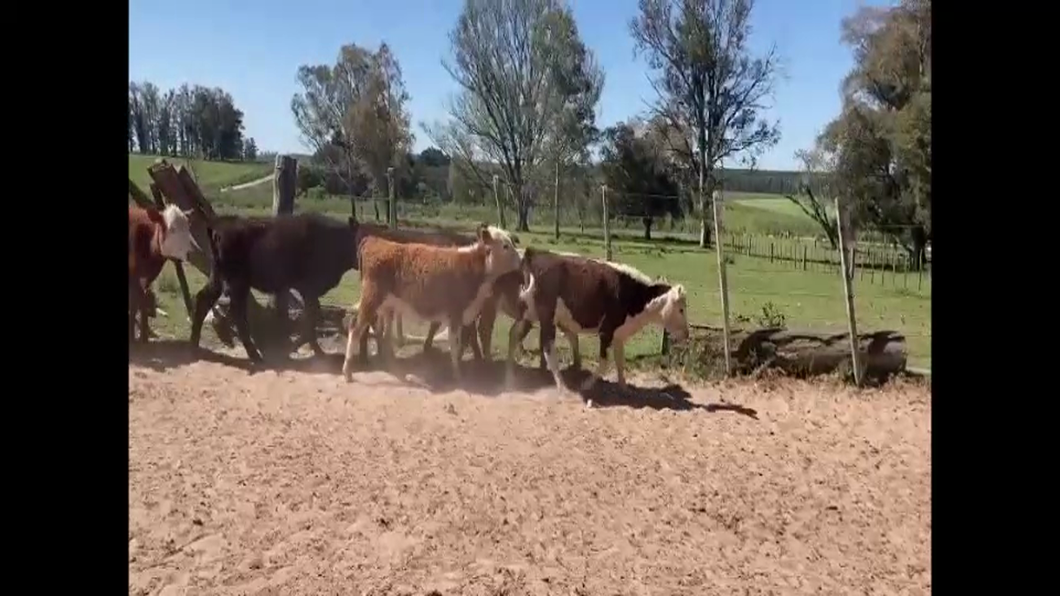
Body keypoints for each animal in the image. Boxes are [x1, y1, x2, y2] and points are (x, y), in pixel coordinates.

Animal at [128, 201, 197, 341]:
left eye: (188, 228)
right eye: (172, 229)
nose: (192, 252)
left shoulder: (148, 278)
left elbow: (139, 303)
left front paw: (143, 337)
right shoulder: (133, 277)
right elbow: (137, 302)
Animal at [188, 213, 358, 362]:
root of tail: (220, 223)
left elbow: (313, 317)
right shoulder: (308, 289)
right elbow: (312, 318)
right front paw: (302, 349)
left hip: (218, 278)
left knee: (203, 299)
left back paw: (194, 345)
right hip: (238, 283)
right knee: (237, 314)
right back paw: (254, 355)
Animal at [508, 244, 691, 402]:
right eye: (681, 309)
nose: (687, 333)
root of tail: (535, 253)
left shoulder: (618, 334)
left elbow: (620, 362)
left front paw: (625, 389)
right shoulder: (606, 331)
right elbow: (604, 363)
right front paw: (586, 385)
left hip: (528, 315)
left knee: (514, 334)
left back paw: (510, 374)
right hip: (547, 318)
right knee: (548, 349)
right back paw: (563, 388)